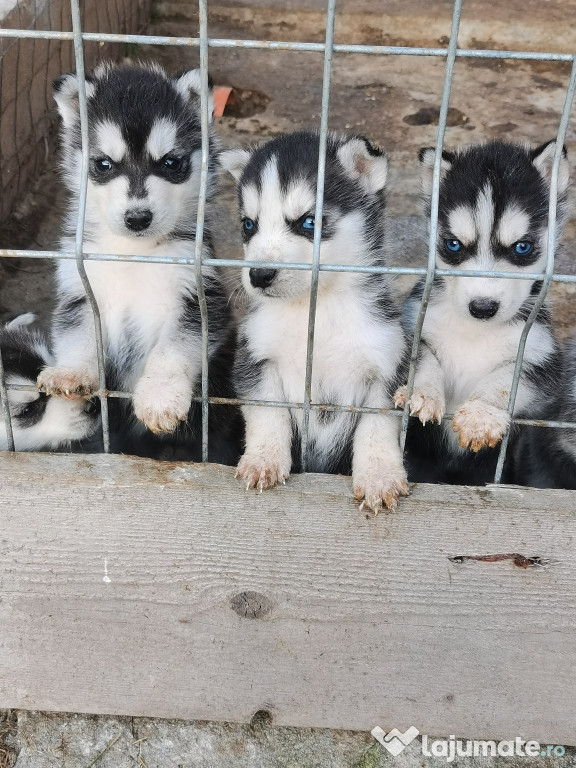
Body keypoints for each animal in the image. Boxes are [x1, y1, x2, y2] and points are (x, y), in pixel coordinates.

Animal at [38, 64, 240, 462]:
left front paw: (159, 396)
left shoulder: (197, 298)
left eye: (171, 163)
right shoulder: (80, 291)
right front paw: (70, 372)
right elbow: (78, 334)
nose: (137, 218)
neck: (134, 253)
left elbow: (172, 349)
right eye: (103, 164)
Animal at [219, 133, 410, 516]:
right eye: (249, 224)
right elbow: (267, 414)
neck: (317, 310)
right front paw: (263, 460)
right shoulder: (256, 358)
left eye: (309, 222)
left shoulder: (386, 364)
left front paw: (379, 476)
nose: (259, 275)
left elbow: (377, 426)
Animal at [396, 141, 568, 484]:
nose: (483, 307)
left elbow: (510, 377)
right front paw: (421, 392)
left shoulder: (544, 361)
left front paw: (481, 414)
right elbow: (422, 358)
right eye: (453, 245)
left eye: (522, 248)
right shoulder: (413, 323)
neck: (475, 332)